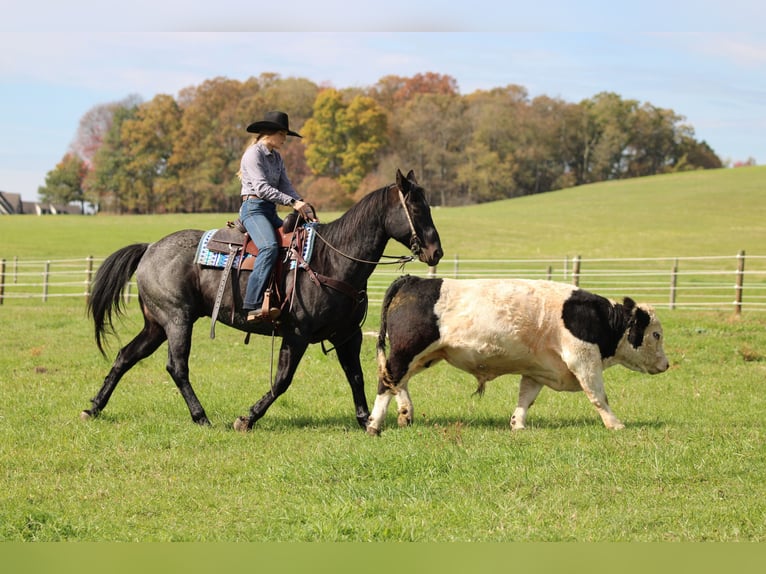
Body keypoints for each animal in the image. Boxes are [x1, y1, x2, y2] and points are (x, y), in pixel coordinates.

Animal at [82, 169, 443, 431]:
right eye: (415, 207)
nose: (435, 251)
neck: (331, 259)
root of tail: (150, 248)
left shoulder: (347, 335)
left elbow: (355, 375)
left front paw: (365, 419)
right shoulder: (296, 335)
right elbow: (282, 380)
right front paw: (247, 418)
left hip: (156, 324)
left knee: (125, 356)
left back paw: (94, 408)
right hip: (176, 319)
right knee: (177, 366)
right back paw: (201, 416)